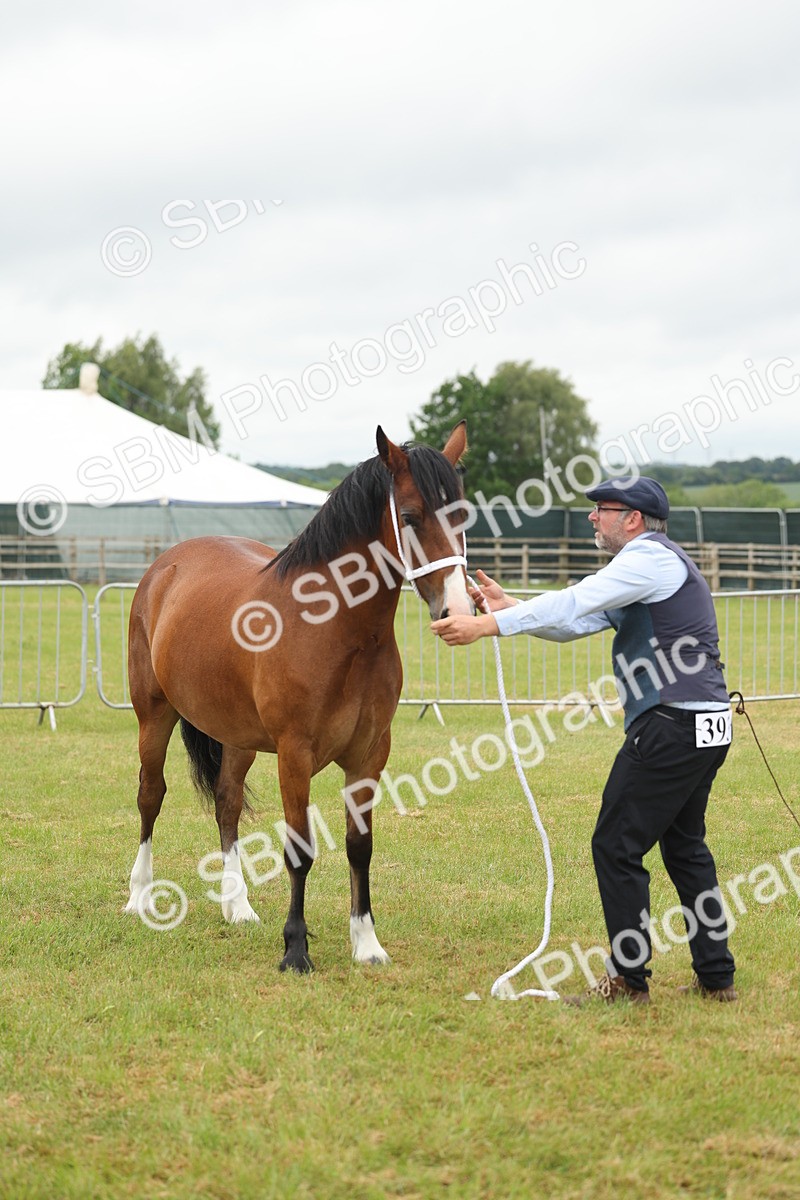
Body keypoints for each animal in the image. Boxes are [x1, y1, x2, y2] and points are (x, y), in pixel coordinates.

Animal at [125, 421, 473, 972]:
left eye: (461, 515)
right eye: (412, 517)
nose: (456, 610)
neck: (337, 630)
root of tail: (165, 565)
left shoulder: (369, 755)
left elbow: (359, 846)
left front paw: (366, 943)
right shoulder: (295, 755)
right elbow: (300, 850)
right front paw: (295, 949)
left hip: (237, 736)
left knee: (227, 804)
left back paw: (237, 906)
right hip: (153, 715)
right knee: (150, 795)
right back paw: (139, 896)